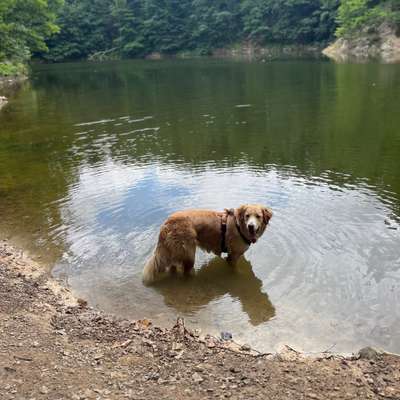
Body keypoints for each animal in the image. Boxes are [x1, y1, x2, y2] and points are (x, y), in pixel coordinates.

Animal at [143, 206, 272, 284]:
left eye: (258, 216)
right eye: (247, 216)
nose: (251, 226)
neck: (239, 226)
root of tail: (167, 223)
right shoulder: (233, 256)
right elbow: (235, 270)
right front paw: (239, 276)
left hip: (175, 252)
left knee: (173, 268)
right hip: (189, 253)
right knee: (186, 271)